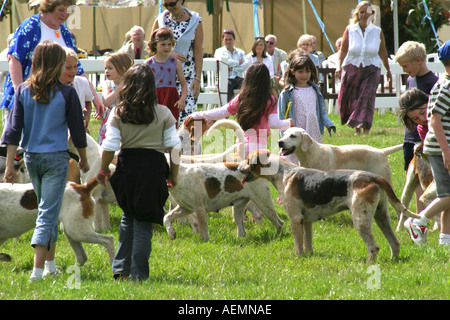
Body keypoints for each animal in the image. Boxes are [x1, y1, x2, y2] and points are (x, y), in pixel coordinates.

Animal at [237, 150, 420, 262]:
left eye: (247, 159)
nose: (238, 167)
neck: (284, 173)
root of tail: (374, 177)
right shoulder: (306, 221)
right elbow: (307, 243)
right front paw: (308, 256)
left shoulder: (295, 219)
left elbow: (298, 245)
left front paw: (298, 258)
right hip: (381, 217)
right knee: (395, 243)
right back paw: (393, 261)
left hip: (360, 219)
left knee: (373, 247)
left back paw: (368, 265)